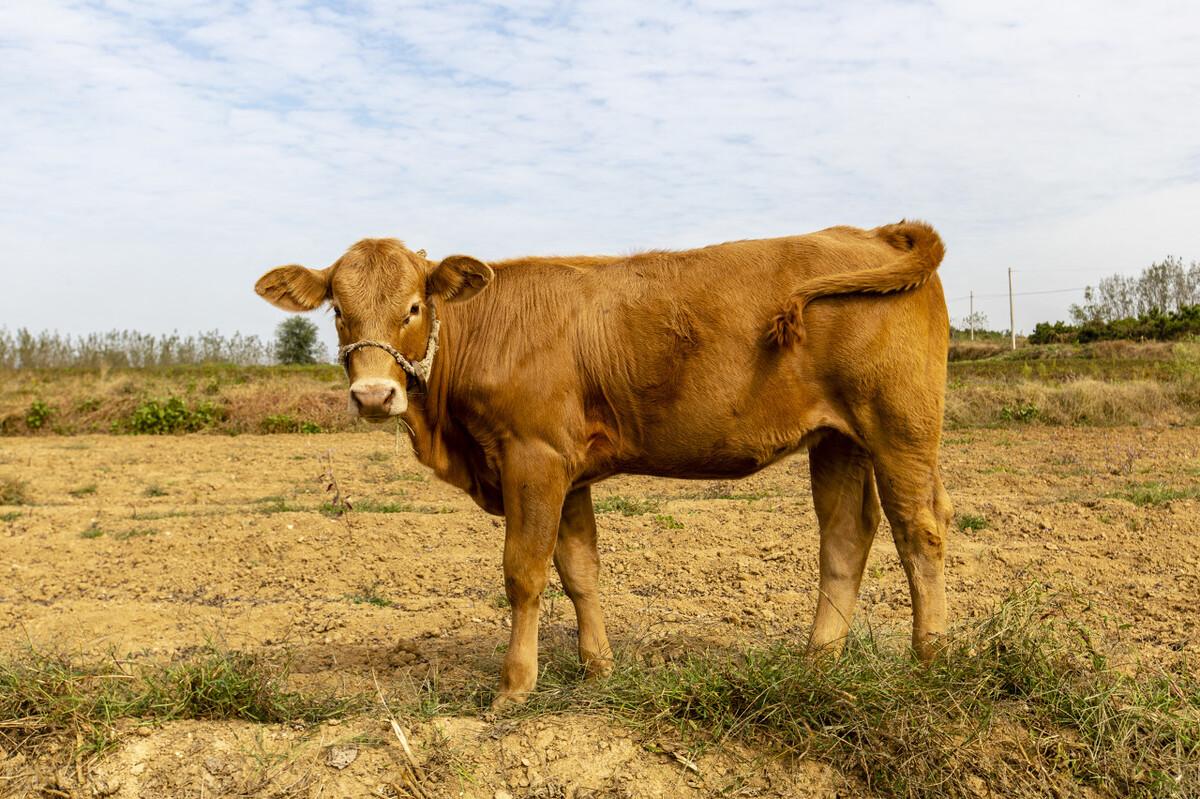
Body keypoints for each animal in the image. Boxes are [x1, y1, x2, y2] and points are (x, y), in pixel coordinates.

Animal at [258, 218, 950, 705]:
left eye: (413, 307)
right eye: (338, 311)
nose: (374, 395)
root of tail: (874, 232)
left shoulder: (532, 457)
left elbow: (525, 571)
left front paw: (514, 686)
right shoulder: (567, 472)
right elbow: (579, 569)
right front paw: (599, 669)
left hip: (900, 427)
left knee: (920, 531)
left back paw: (930, 662)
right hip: (839, 439)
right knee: (846, 536)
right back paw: (819, 662)